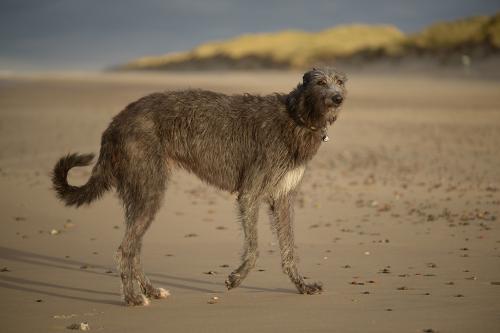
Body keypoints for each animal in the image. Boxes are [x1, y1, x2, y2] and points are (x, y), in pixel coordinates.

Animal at [52, 67, 346, 306]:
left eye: (340, 82)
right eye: (320, 82)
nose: (338, 98)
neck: (297, 116)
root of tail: (114, 124)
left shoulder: (282, 198)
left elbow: (289, 248)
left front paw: (303, 285)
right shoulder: (250, 193)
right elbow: (254, 248)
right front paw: (236, 278)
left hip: (139, 193)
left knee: (134, 249)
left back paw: (151, 291)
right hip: (149, 188)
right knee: (126, 249)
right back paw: (133, 298)